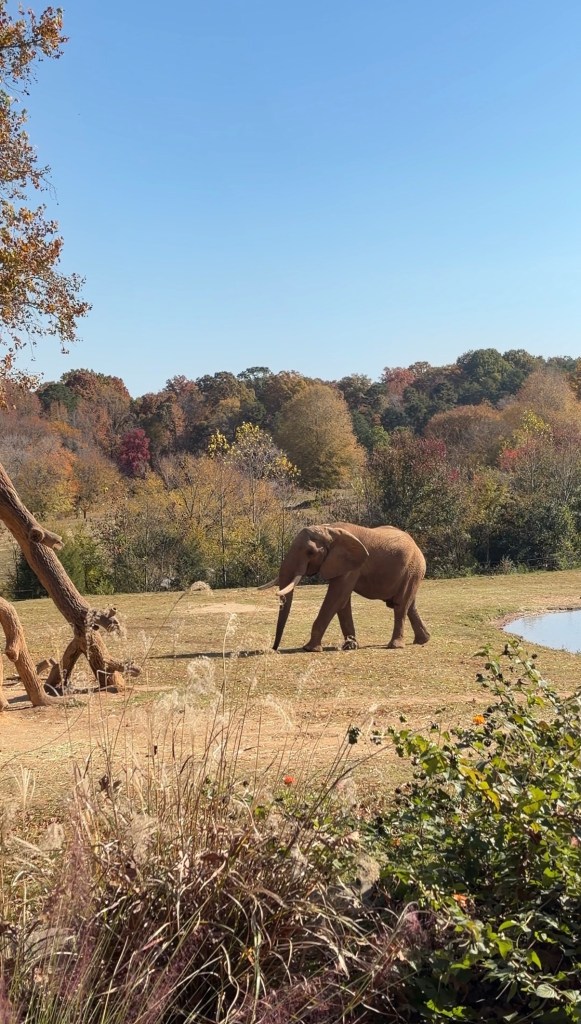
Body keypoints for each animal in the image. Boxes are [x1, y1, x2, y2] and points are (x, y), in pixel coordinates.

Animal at [259, 522, 430, 652]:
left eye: (310, 552)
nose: (274, 649)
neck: (329, 529)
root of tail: (416, 544)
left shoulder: (352, 566)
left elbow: (336, 597)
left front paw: (309, 648)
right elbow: (342, 602)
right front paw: (350, 646)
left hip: (413, 568)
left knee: (401, 605)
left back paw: (395, 646)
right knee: (409, 605)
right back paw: (423, 640)